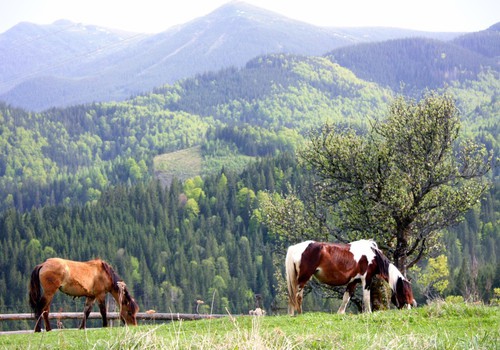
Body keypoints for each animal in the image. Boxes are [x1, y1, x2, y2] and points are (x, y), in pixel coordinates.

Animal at [288, 239, 416, 316]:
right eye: (405, 292)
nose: (412, 306)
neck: (373, 255)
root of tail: (295, 247)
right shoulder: (366, 279)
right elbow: (366, 298)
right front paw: (369, 313)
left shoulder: (353, 281)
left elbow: (346, 297)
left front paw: (340, 313)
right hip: (303, 278)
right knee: (297, 296)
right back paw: (298, 314)